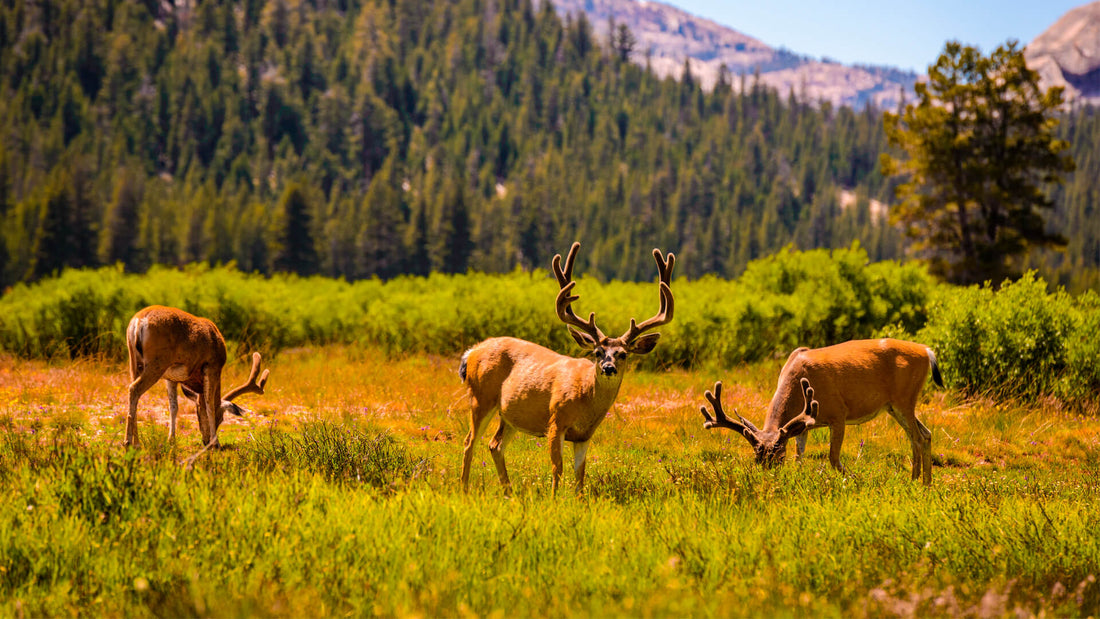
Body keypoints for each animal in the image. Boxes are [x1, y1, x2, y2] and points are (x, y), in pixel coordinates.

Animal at [124, 305, 268, 448]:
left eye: (197, 412)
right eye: (221, 418)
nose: (206, 440)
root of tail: (139, 321)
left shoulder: (171, 378)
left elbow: (174, 407)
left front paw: (171, 440)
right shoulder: (212, 366)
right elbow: (210, 405)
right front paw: (216, 443)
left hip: (135, 363)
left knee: (134, 392)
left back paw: (136, 442)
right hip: (157, 363)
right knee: (134, 388)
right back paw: (129, 442)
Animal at [455, 241, 668, 499]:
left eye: (623, 354)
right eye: (597, 352)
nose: (608, 368)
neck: (586, 399)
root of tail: (472, 351)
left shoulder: (585, 435)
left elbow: (580, 472)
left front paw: (579, 500)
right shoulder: (556, 420)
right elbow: (558, 466)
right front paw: (554, 499)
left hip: (510, 415)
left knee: (494, 445)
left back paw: (509, 493)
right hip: (480, 397)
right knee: (469, 441)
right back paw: (464, 489)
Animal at [699, 338, 941, 483]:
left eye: (779, 456)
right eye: (757, 459)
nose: (768, 479)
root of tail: (927, 351)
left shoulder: (838, 413)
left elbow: (833, 458)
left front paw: (854, 480)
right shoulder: (805, 425)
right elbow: (799, 457)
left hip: (904, 399)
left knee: (918, 437)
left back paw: (917, 483)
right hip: (894, 406)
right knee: (925, 434)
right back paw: (922, 483)